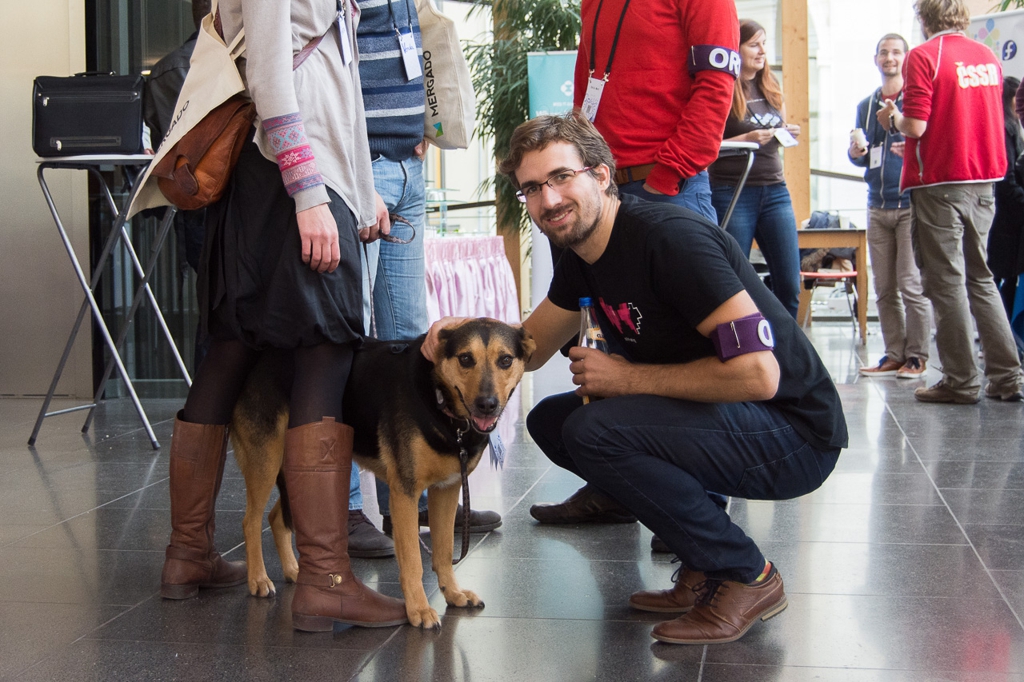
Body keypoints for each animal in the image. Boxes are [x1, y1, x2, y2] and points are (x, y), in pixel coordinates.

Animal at [230, 319, 536, 626]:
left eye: (505, 360)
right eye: (465, 359)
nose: (487, 404)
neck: (439, 400)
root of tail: (266, 354)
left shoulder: (446, 490)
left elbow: (444, 551)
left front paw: (453, 593)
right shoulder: (404, 494)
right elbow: (413, 561)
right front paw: (418, 609)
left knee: (276, 517)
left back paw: (294, 570)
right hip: (266, 460)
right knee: (250, 521)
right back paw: (258, 579)